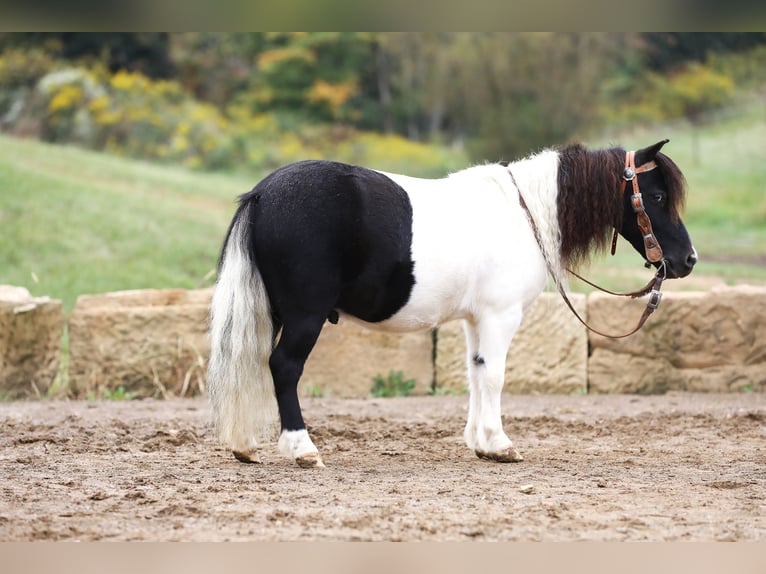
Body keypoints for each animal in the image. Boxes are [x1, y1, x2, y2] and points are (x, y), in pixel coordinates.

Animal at [207, 140, 700, 468]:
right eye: (656, 195)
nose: (687, 260)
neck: (523, 214)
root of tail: (262, 194)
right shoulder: (501, 315)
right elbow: (496, 375)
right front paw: (500, 444)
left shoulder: (475, 319)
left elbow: (476, 373)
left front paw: (480, 442)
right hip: (305, 315)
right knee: (284, 367)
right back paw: (302, 448)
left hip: (275, 312)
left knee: (253, 363)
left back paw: (245, 445)